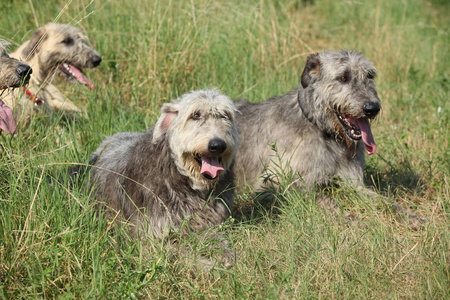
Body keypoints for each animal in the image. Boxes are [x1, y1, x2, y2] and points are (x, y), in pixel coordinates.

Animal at [85, 88, 239, 268]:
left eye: (225, 116)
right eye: (195, 115)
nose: (217, 145)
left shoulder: (210, 223)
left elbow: (217, 238)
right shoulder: (151, 239)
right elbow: (179, 254)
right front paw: (207, 265)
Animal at [236, 49, 426, 227]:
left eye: (370, 75)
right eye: (343, 77)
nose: (372, 108)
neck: (323, 131)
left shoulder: (353, 182)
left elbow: (384, 200)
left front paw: (411, 216)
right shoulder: (271, 184)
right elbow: (325, 198)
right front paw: (352, 219)